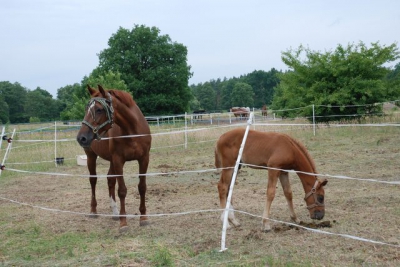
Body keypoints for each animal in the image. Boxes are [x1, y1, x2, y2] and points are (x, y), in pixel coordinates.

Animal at [76, 86, 152, 232]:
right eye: (86, 109)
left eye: (99, 109)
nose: (81, 138)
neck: (132, 131)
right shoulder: (118, 160)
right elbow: (122, 190)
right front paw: (123, 223)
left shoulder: (144, 159)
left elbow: (142, 187)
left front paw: (144, 218)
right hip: (91, 156)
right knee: (93, 180)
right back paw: (93, 211)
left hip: (111, 161)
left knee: (110, 180)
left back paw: (115, 212)